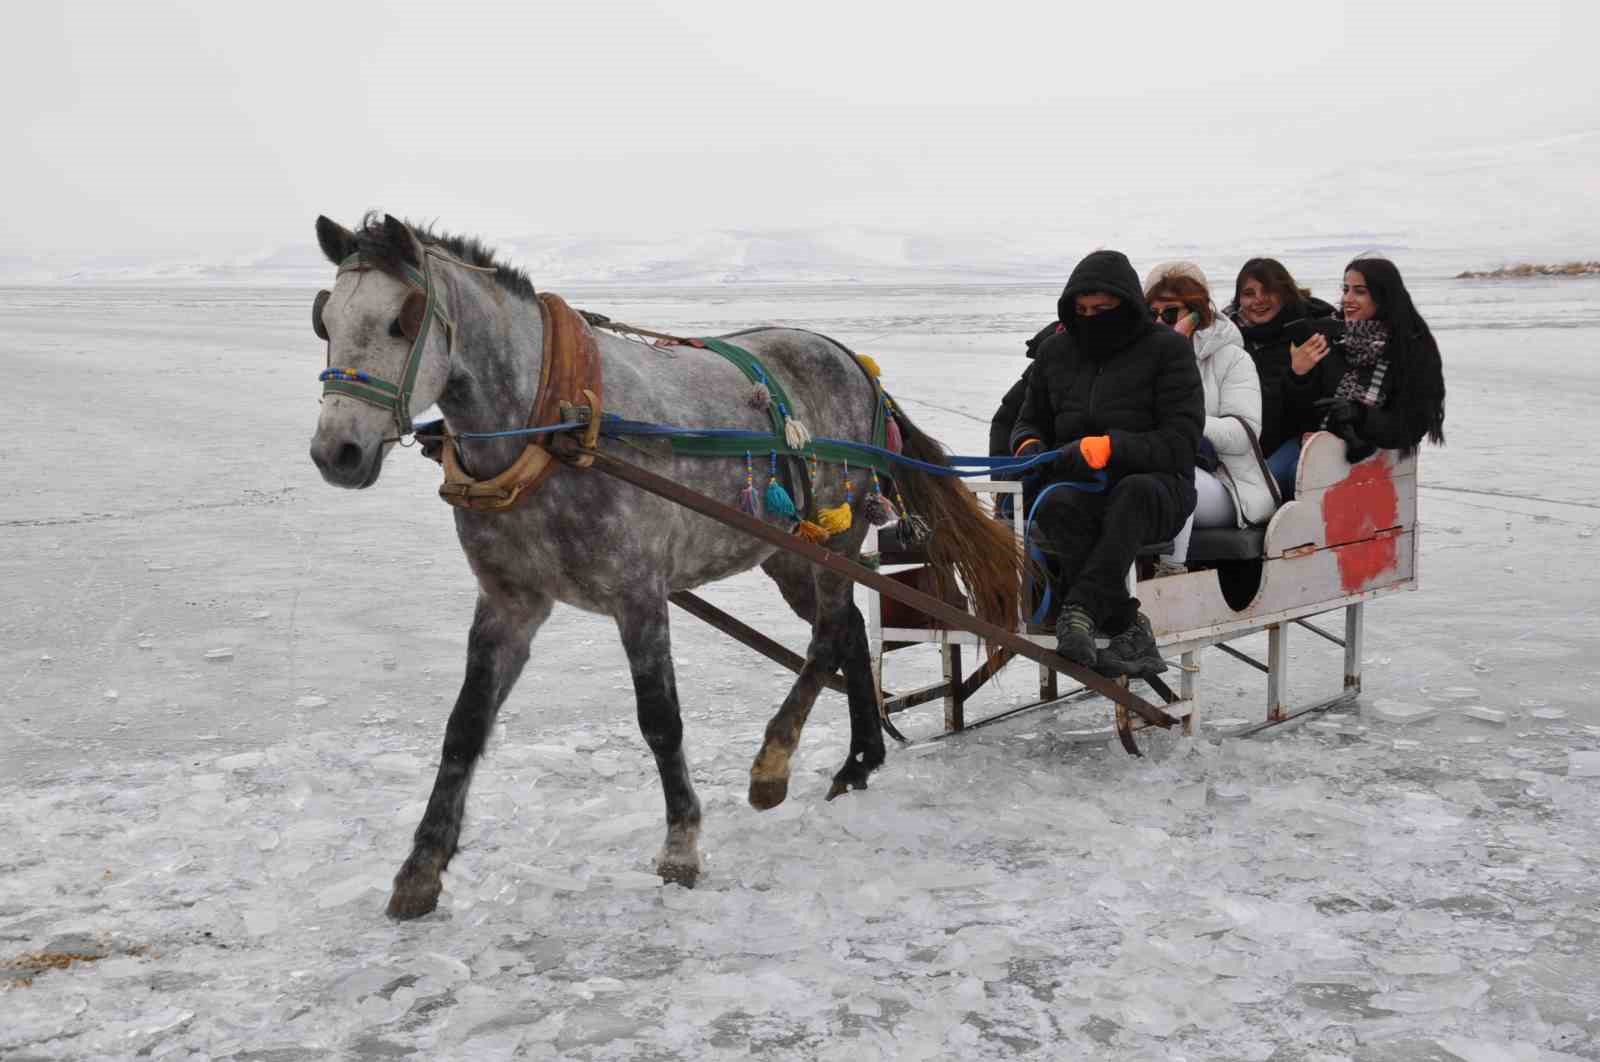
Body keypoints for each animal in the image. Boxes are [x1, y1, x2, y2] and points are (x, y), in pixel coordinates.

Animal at [305, 211, 1017, 914]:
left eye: (401, 319)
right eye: (327, 320)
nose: (336, 452)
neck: (549, 422)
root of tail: (856, 364)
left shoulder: (639, 592)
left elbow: (660, 720)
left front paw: (681, 845)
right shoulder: (509, 600)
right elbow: (464, 726)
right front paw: (421, 869)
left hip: (836, 536)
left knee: (825, 639)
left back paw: (773, 767)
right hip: (785, 550)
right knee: (849, 631)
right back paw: (859, 760)